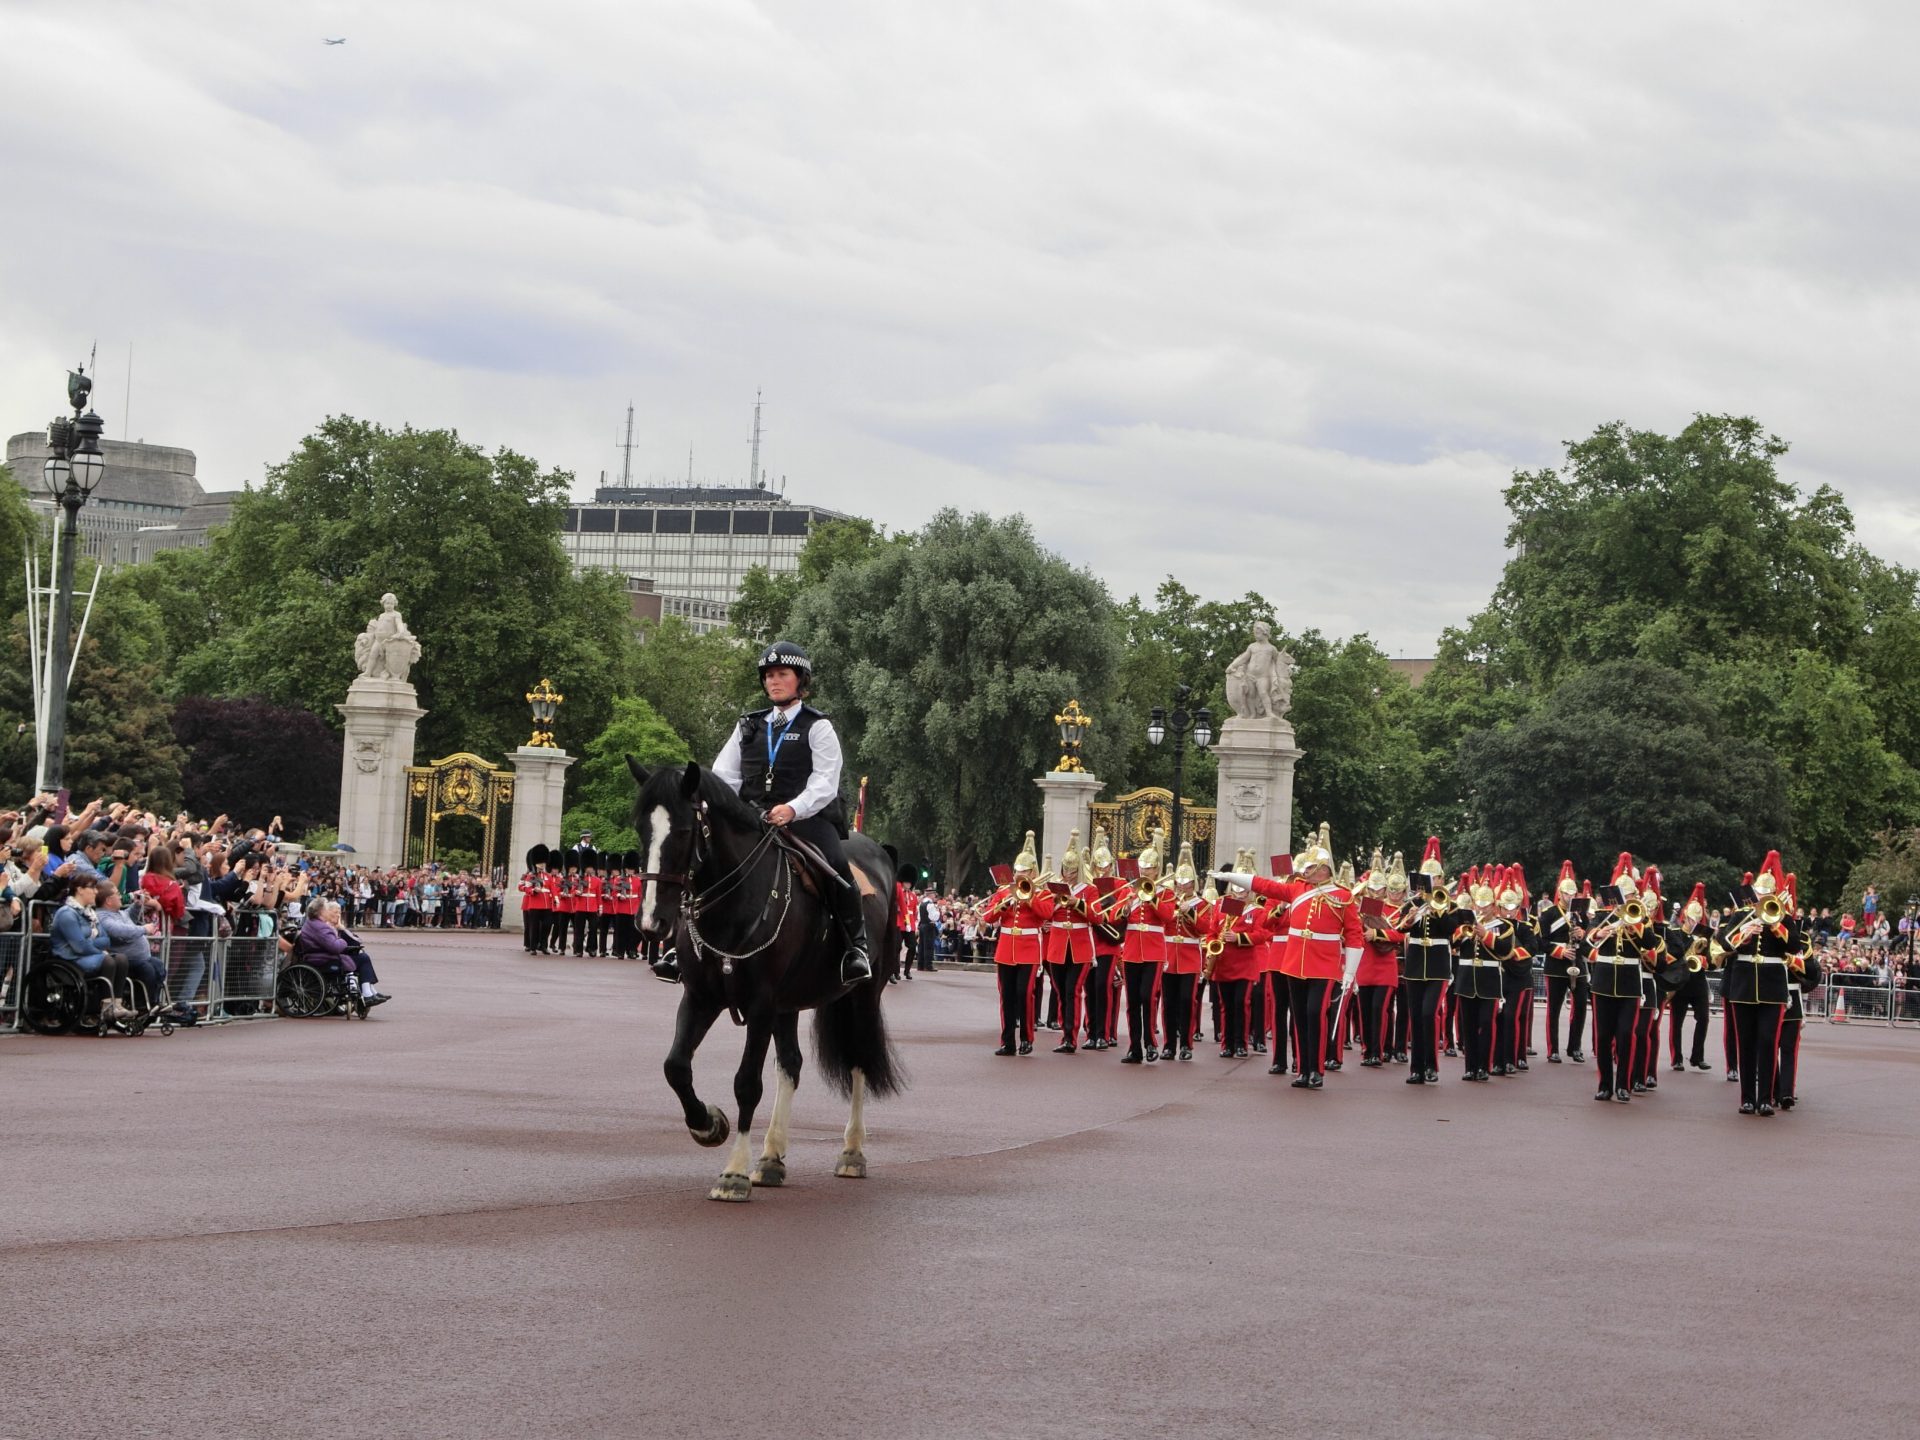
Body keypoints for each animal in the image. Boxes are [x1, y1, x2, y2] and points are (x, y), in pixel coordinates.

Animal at [625, 760, 902, 1198]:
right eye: (641, 828)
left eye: (684, 830)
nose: (652, 922)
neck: (734, 904)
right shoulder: (701, 997)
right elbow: (676, 1067)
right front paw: (708, 1125)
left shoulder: (759, 1004)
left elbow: (746, 1083)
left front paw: (734, 1171)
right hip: (788, 1005)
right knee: (790, 1065)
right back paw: (772, 1158)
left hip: (862, 995)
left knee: (857, 1060)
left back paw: (851, 1153)